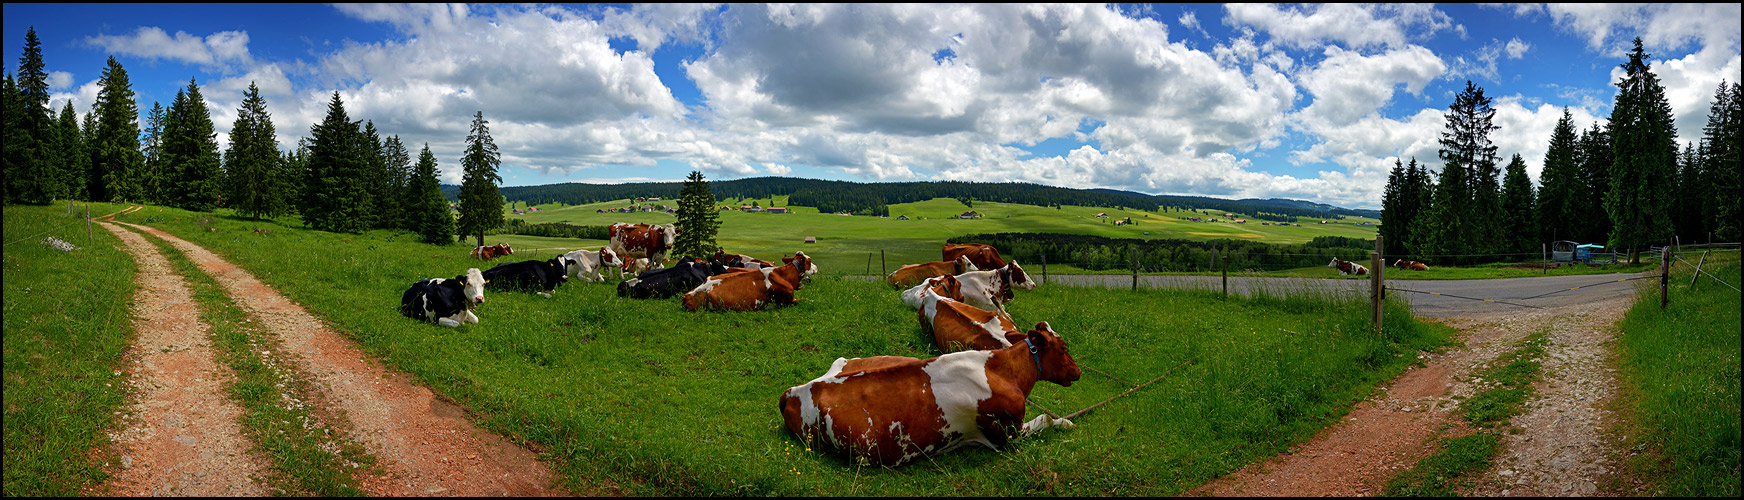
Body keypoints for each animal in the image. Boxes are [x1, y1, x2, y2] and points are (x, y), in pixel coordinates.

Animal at [680, 252, 816, 311]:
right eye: (810, 260)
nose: (816, 268)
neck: (784, 275)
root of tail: (686, 295)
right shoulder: (787, 301)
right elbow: (806, 300)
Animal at [777, 320, 1074, 466]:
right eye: (1063, 347)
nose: (1078, 371)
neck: (1003, 371)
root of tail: (792, 391)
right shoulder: (1007, 435)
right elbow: (1047, 418)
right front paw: (1067, 423)